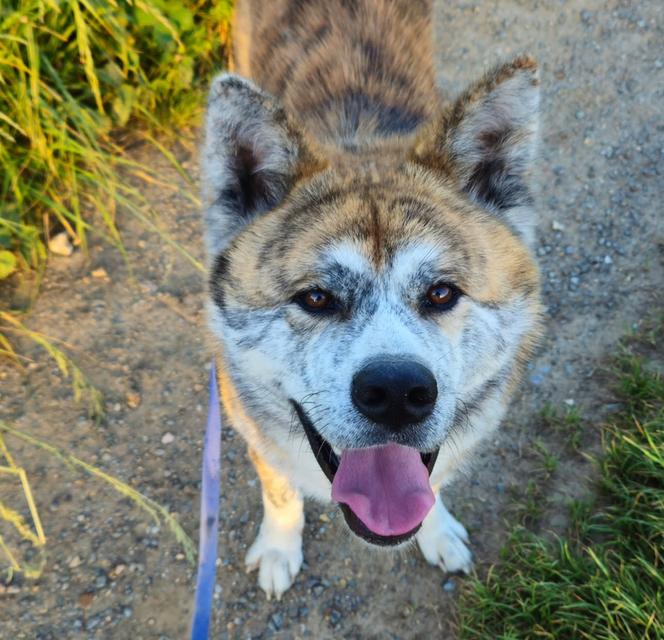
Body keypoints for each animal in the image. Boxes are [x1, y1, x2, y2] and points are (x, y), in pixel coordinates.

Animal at [205, 0, 544, 600]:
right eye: (316, 296)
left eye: (441, 292)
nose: (396, 393)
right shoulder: (247, 422)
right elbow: (280, 491)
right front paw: (279, 548)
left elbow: (431, 484)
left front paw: (438, 532)